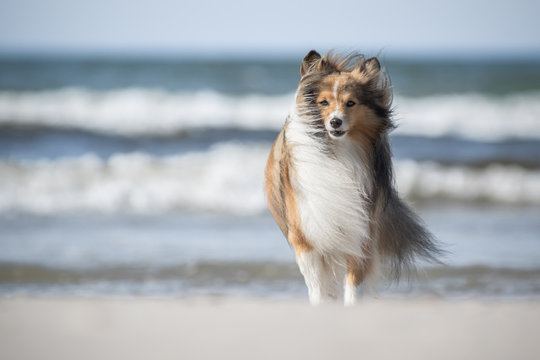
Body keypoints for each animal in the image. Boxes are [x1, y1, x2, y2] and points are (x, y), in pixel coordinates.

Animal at [264, 50, 440, 304]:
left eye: (351, 103)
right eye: (323, 102)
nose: (335, 122)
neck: (338, 153)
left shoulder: (360, 233)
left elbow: (354, 285)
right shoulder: (306, 238)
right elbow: (318, 287)